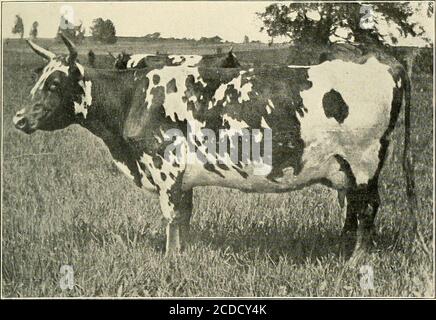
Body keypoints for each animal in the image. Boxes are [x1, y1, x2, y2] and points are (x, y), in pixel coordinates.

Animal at [12, 35, 416, 260]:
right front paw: (184, 255)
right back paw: (343, 249)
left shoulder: (165, 166)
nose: (18, 118)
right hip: (346, 165)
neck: (132, 97)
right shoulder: (183, 178)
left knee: (367, 207)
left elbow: (172, 218)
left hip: (364, 159)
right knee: (352, 207)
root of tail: (382, 59)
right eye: (38, 78)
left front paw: (170, 261)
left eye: (55, 83)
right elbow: (185, 217)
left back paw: (356, 261)